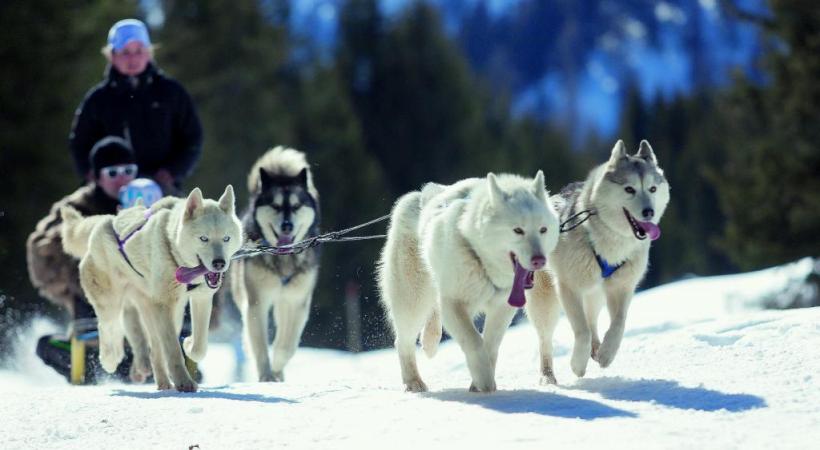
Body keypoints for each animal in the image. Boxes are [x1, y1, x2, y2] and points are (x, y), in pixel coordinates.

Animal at [61, 185, 242, 390]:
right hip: (112, 304)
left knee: (153, 350)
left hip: (164, 312)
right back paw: (110, 359)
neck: (175, 253)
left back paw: (161, 382)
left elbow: (199, 347)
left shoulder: (201, 299)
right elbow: (173, 351)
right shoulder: (163, 305)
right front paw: (184, 382)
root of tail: (106, 221)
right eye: (203, 238)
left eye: (226, 238)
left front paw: (188, 345)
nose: (219, 263)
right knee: (108, 327)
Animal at [232, 147, 322, 380]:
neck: (283, 259)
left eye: (297, 206)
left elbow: (286, 347)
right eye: (275, 205)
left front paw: (277, 369)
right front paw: (266, 376)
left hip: (284, 302)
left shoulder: (297, 302)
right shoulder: (257, 302)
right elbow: (260, 344)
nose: (287, 225)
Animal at [380, 171, 560, 392]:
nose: (539, 260)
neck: (481, 260)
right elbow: (474, 341)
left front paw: (480, 382)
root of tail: (422, 194)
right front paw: (484, 380)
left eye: (543, 229)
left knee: (544, 338)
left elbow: (490, 344)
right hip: (413, 300)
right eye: (518, 230)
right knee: (403, 341)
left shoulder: (502, 307)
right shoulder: (453, 303)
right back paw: (413, 381)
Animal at [528, 139, 668, 382]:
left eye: (652, 189)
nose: (649, 212)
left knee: (592, 321)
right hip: (546, 303)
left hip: (596, 294)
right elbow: (581, 331)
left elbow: (618, 324)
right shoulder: (569, 288)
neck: (611, 242)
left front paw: (607, 354)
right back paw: (548, 377)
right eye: (629, 189)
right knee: (546, 340)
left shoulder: (621, 287)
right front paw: (577, 365)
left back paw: (597, 350)